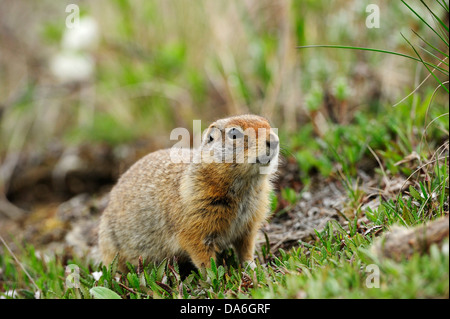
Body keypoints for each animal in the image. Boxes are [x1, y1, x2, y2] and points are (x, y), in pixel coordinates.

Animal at [100, 114, 280, 272]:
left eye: (267, 123)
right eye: (234, 134)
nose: (274, 141)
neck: (245, 186)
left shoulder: (249, 224)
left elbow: (246, 249)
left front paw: (253, 267)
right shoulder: (195, 224)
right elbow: (202, 255)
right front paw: (214, 277)